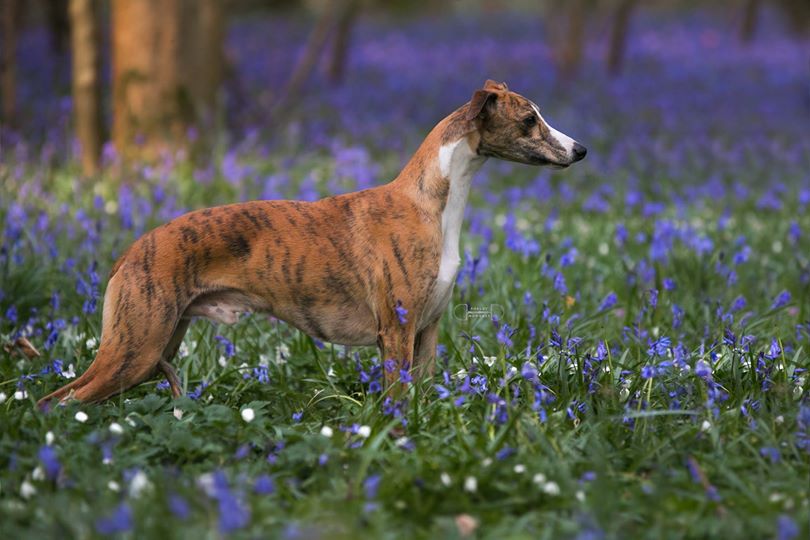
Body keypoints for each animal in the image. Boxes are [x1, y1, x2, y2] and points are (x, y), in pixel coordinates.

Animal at [38, 80, 584, 408]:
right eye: (529, 119)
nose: (580, 150)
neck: (430, 203)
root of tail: (129, 252)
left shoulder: (427, 331)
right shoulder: (396, 332)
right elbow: (396, 404)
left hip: (156, 347)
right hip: (134, 349)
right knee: (55, 403)